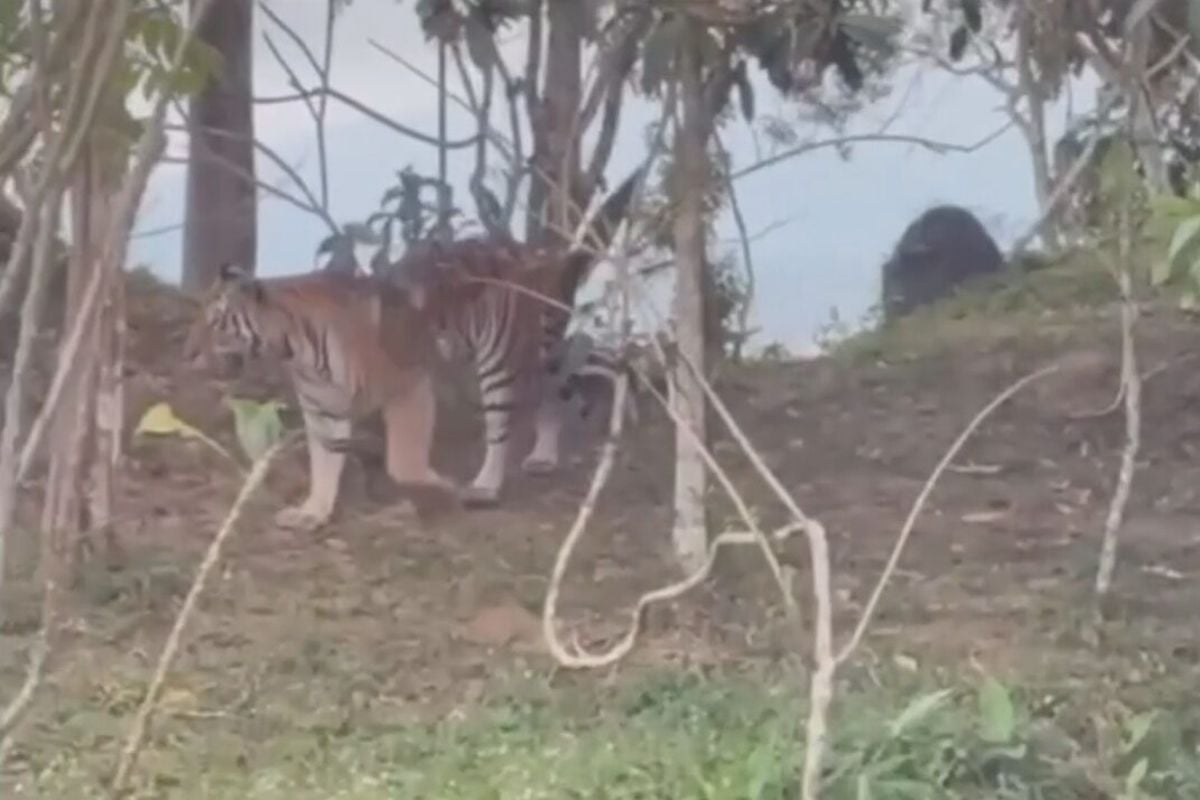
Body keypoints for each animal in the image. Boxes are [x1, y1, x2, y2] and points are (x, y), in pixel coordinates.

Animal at [181, 263, 461, 532]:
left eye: (215, 322)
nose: (188, 353)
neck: (294, 349)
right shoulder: (324, 410)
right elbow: (324, 463)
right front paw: (312, 514)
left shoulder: (408, 386)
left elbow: (404, 460)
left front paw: (439, 485)